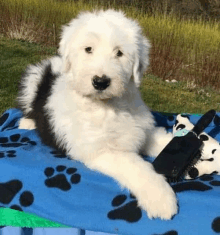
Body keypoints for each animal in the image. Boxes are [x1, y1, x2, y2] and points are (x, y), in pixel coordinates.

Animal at [17, 8, 179, 218]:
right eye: (88, 49)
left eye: (119, 52)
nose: (101, 82)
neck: (108, 107)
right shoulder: (100, 151)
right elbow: (135, 166)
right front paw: (160, 198)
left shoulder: (141, 129)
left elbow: (164, 141)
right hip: (32, 79)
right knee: (28, 107)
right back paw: (27, 123)